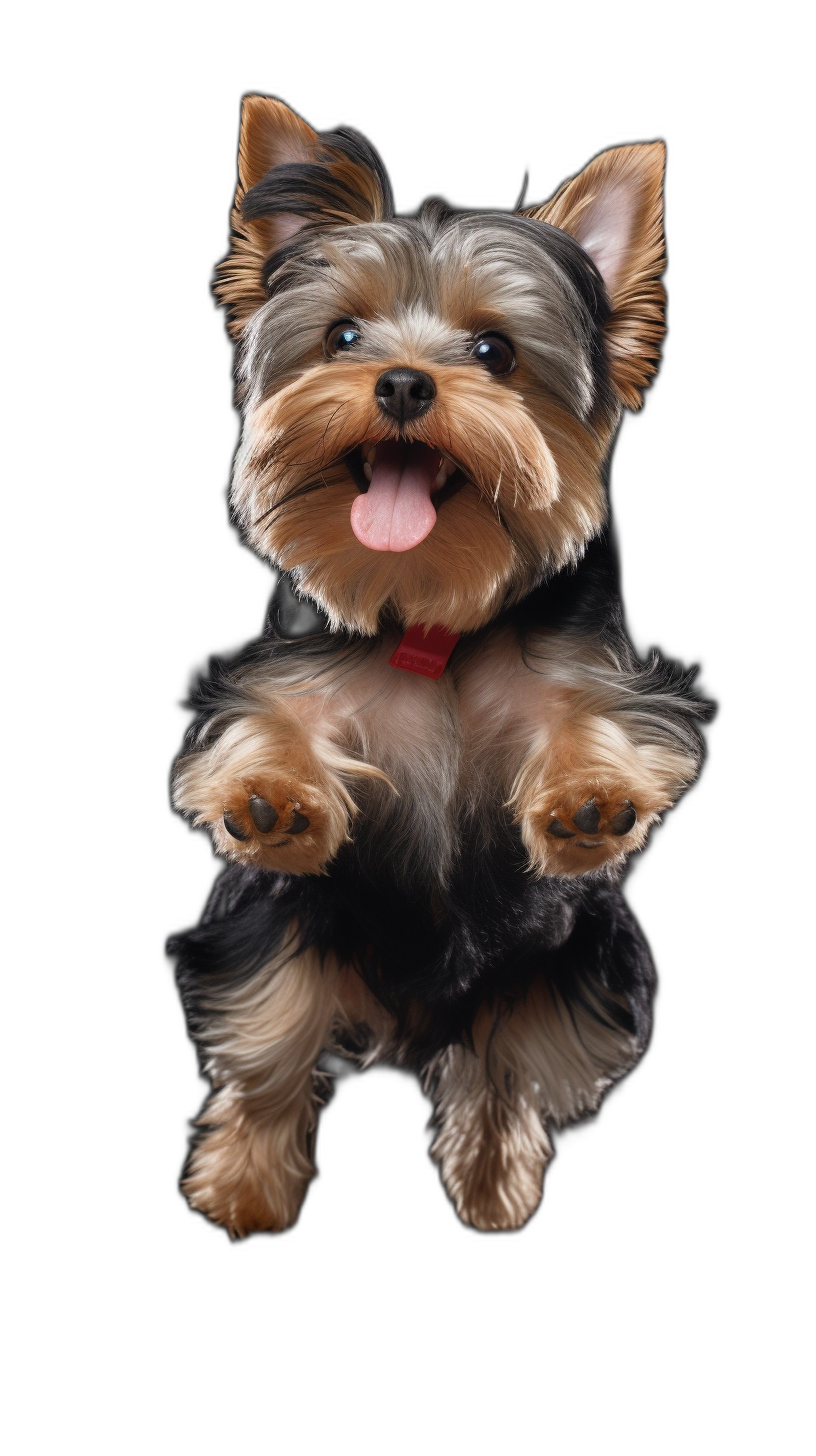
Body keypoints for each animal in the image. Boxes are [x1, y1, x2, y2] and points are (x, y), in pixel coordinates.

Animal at [170, 93, 702, 1228]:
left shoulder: (585, 668)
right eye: (343, 334)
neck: (433, 612)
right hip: (271, 935)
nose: (405, 381)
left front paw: (588, 798)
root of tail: (416, 1022)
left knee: (506, 1070)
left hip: (588, 978)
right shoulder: (294, 675)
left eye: (495, 351)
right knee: (268, 1053)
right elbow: (269, 723)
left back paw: (495, 1183)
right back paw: (243, 1188)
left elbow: (595, 716)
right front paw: (275, 794)